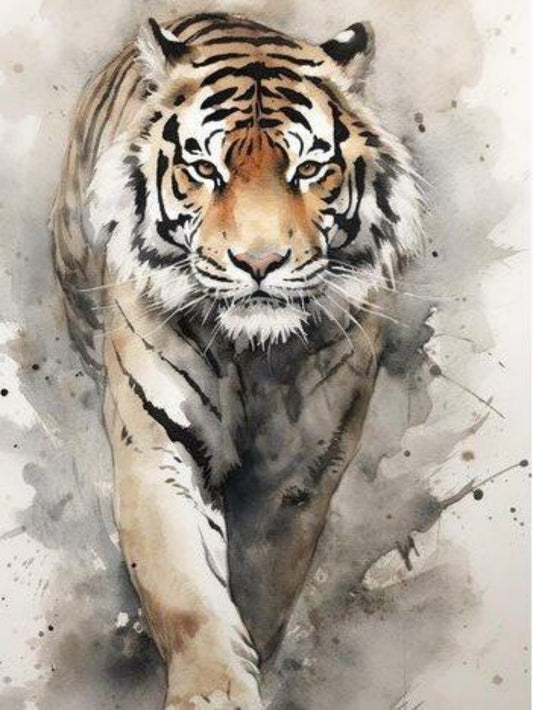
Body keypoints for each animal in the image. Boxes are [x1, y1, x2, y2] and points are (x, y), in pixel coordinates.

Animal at [50, 11, 422, 709]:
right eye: (203, 166)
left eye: (309, 167)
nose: (259, 261)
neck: (254, 354)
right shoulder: (156, 444)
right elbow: (186, 591)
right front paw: (215, 689)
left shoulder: (299, 473)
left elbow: (263, 581)